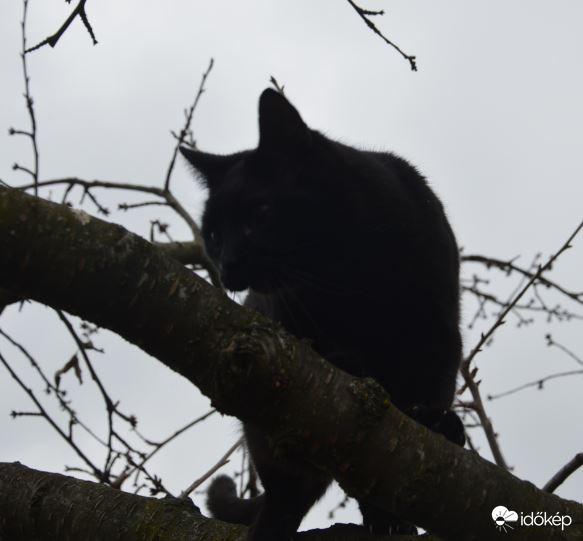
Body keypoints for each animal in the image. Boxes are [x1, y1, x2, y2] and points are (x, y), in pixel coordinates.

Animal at [180, 90, 464, 536]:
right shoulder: (289, 328)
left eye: (259, 213)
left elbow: (429, 396)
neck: (346, 273)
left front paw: (437, 424)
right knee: (287, 490)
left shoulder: (439, 333)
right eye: (213, 235)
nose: (227, 266)